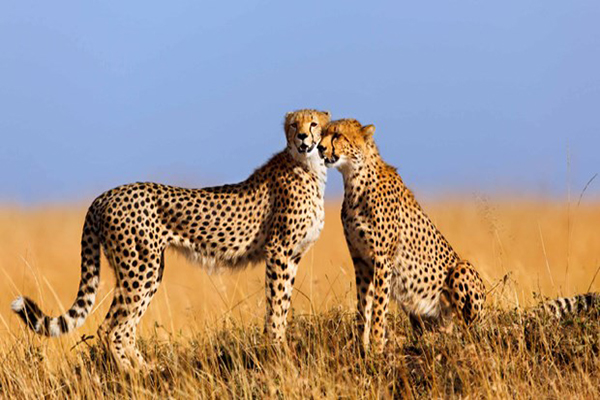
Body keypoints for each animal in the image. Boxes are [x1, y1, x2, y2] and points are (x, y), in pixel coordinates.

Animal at [12, 108, 332, 368]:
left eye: (314, 123)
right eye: (294, 124)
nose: (303, 136)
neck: (309, 166)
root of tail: (106, 194)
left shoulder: (292, 256)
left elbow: (283, 304)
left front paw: (278, 348)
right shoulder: (279, 252)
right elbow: (276, 307)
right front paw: (278, 352)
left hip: (146, 271)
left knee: (124, 327)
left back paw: (147, 369)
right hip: (141, 269)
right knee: (111, 328)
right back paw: (133, 375)